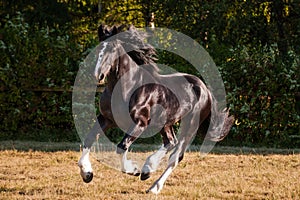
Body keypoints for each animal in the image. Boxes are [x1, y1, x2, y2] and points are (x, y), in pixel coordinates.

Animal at [78, 25, 234, 194]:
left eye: (112, 49)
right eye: (98, 48)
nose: (98, 75)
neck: (128, 87)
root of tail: (204, 88)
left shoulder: (140, 123)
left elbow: (121, 147)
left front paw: (133, 170)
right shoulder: (106, 119)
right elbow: (89, 139)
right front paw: (87, 174)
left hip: (190, 125)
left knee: (175, 156)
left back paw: (154, 186)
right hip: (165, 123)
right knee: (170, 142)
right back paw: (148, 170)